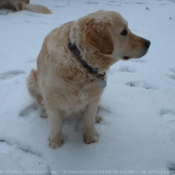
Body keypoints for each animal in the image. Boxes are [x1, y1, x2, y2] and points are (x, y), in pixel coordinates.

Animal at [27, 10, 150, 148]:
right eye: (124, 32)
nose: (149, 43)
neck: (80, 62)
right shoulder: (52, 99)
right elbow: (55, 125)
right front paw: (56, 143)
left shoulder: (93, 97)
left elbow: (89, 120)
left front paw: (91, 137)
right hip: (31, 79)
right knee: (43, 103)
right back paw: (44, 113)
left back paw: (97, 117)